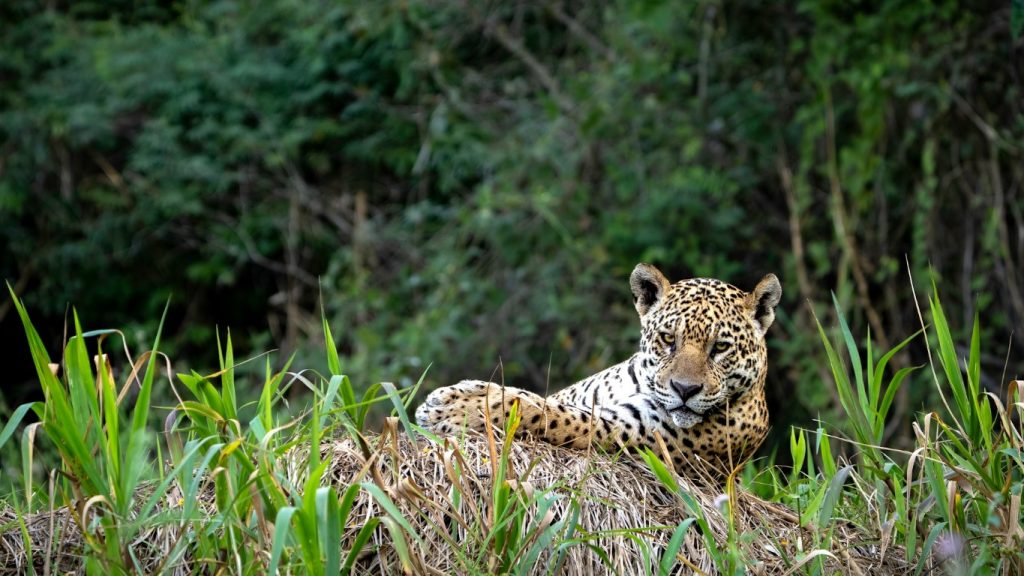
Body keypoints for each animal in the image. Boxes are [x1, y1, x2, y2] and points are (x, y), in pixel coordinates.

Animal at [414, 263, 781, 479]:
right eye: (668, 339)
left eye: (720, 347)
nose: (684, 390)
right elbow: (539, 398)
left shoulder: (631, 431)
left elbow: (550, 413)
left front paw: (455, 409)